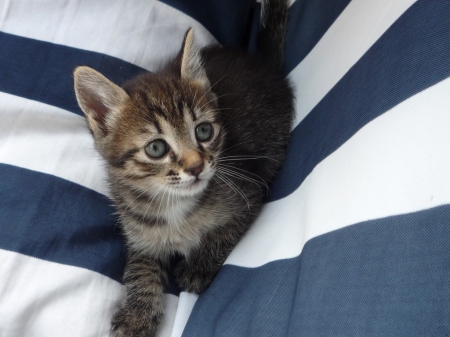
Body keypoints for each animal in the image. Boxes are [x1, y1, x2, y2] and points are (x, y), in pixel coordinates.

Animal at [73, 1, 292, 334]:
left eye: (203, 131)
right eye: (156, 148)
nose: (197, 166)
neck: (175, 206)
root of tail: (264, 64)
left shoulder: (249, 192)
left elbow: (225, 232)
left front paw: (199, 266)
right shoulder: (138, 232)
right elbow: (140, 267)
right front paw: (137, 314)